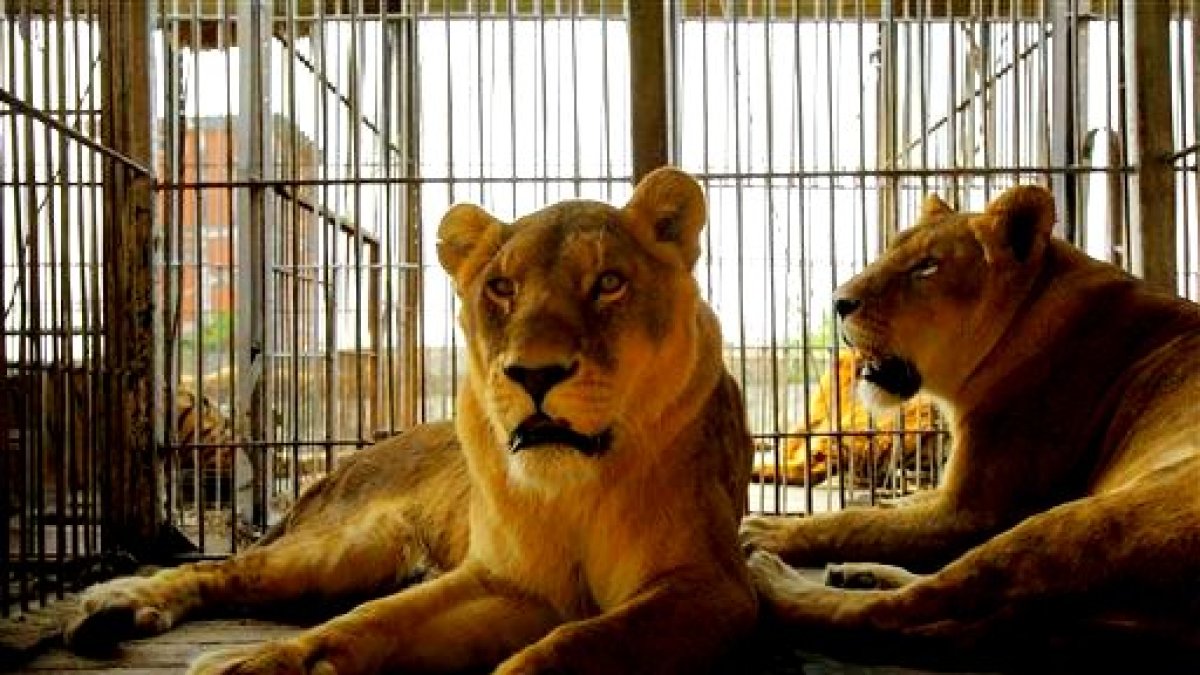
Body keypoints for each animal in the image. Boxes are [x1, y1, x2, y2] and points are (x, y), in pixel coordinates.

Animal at [66, 167, 758, 675]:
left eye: (609, 282)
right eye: (502, 288)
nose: (534, 375)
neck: (570, 486)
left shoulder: (711, 587)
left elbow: (576, 642)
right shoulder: (505, 581)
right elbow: (372, 620)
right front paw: (260, 663)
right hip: (342, 547)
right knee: (224, 570)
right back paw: (117, 604)